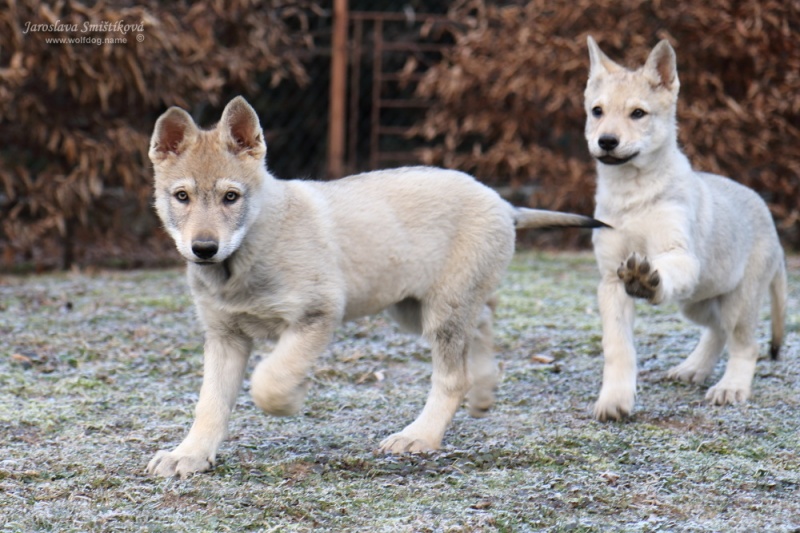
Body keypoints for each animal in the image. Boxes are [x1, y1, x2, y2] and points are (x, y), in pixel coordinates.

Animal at [147, 93, 604, 476]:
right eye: (182, 196)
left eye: (231, 197)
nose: (204, 249)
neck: (246, 253)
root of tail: (503, 202)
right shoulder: (224, 336)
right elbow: (211, 403)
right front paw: (190, 455)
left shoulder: (317, 315)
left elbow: (270, 378)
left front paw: (291, 397)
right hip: (415, 308)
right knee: (483, 323)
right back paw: (485, 389)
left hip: (441, 312)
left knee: (452, 377)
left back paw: (420, 435)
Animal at [588, 36, 788, 420]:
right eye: (597, 111)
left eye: (638, 113)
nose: (606, 141)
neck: (632, 196)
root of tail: (768, 215)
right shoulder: (609, 280)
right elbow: (618, 348)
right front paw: (615, 400)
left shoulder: (679, 254)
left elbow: (661, 268)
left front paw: (647, 279)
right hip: (698, 300)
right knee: (717, 331)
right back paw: (692, 368)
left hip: (738, 300)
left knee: (745, 344)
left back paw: (730, 387)